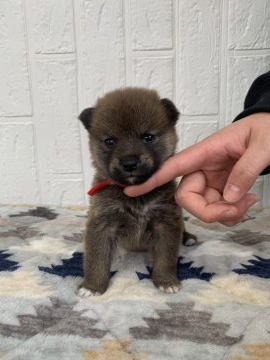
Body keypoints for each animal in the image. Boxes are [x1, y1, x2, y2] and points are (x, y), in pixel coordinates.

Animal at [78, 87, 194, 296]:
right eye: (110, 141)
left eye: (147, 137)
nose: (130, 163)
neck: (135, 195)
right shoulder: (102, 223)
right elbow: (96, 258)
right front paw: (92, 286)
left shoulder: (166, 221)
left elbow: (166, 257)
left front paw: (166, 281)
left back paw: (188, 238)